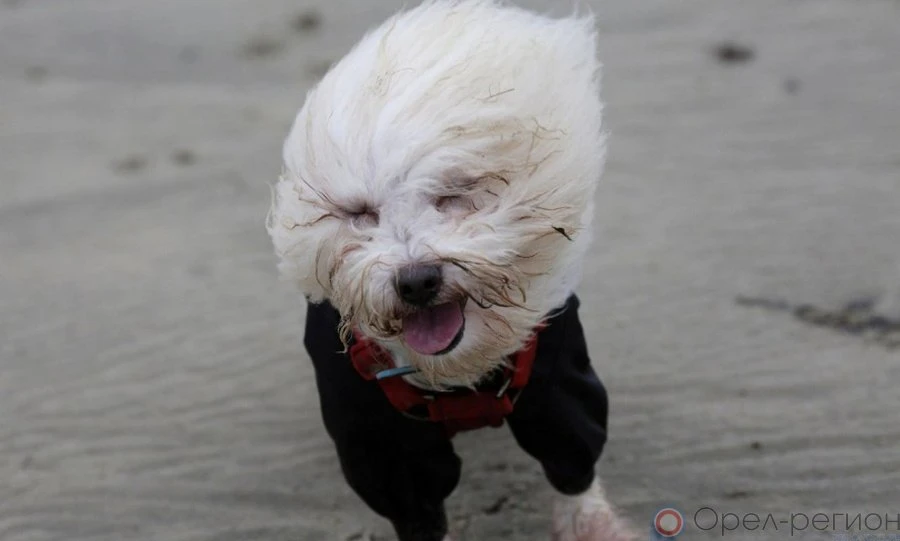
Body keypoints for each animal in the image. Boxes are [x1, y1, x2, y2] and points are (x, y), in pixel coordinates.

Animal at [267, 1, 634, 539]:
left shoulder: (557, 378)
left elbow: (572, 460)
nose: (417, 280)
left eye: (453, 195)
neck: (453, 370)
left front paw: (594, 525)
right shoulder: (378, 437)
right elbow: (414, 501)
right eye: (361, 214)